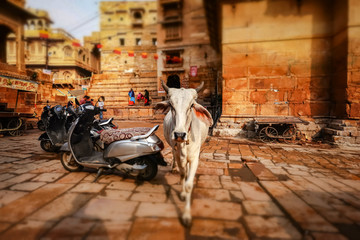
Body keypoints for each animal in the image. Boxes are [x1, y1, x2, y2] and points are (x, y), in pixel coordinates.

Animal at [155, 80, 214, 225]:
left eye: (191, 105)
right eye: (171, 105)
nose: (180, 134)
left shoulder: (194, 158)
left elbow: (188, 185)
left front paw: (186, 214)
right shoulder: (178, 155)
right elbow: (182, 174)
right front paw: (182, 193)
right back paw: (173, 168)